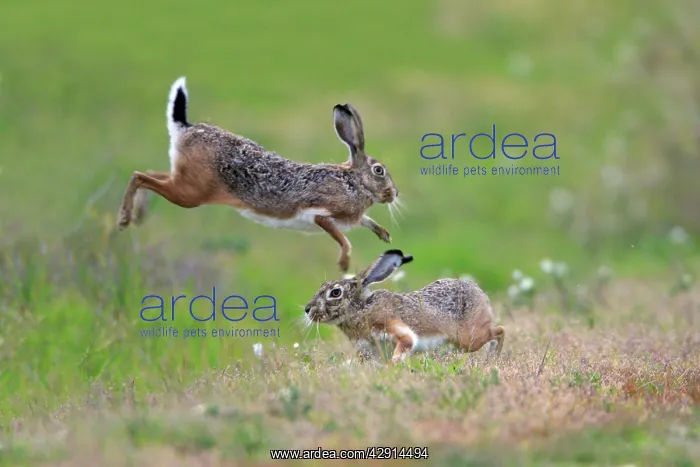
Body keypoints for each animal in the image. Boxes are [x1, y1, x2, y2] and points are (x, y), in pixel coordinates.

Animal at [118, 77, 400, 273]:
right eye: (379, 170)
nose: (394, 194)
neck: (354, 183)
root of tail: (185, 128)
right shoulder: (323, 215)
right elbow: (343, 239)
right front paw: (344, 264)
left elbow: (366, 221)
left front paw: (384, 234)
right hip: (190, 194)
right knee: (139, 176)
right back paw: (124, 218)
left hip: (185, 179)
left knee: (153, 173)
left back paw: (139, 215)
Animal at [303, 249, 505, 364]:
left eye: (335, 293)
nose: (307, 309)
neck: (361, 309)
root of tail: (480, 292)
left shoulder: (394, 329)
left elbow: (406, 342)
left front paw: (396, 364)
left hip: (468, 339)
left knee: (499, 331)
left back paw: (492, 359)